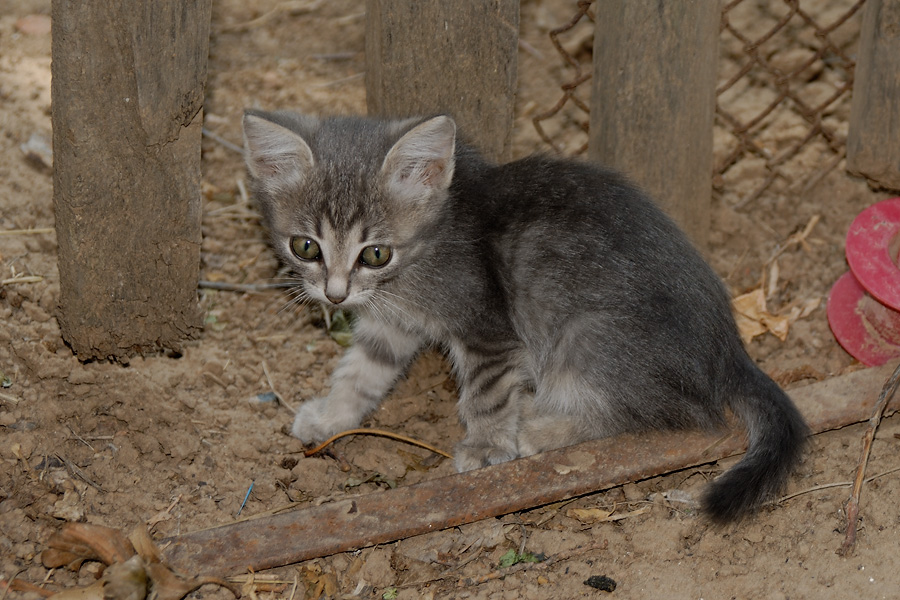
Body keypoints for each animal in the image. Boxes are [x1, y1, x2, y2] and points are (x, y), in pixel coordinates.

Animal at [241, 110, 808, 524]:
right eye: (305, 246)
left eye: (375, 253)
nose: (335, 295)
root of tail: (730, 349)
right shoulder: (391, 323)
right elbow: (361, 371)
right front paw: (332, 416)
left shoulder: (487, 328)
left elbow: (485, 394)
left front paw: (487, 447)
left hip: (585, 337)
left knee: (658, 415)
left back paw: (541, 426)